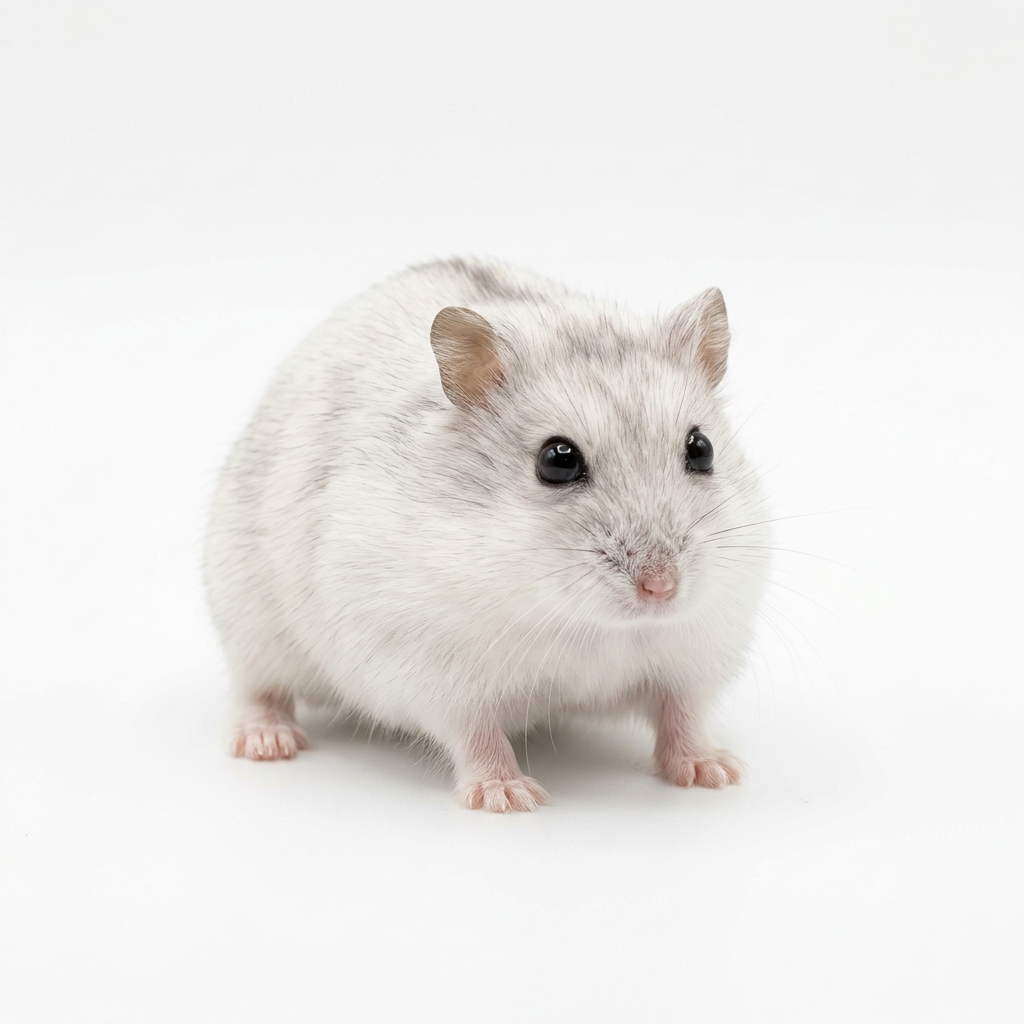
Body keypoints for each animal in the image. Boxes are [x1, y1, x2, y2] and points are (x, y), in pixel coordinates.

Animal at [204, 257, 769, 812]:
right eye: (557, 461)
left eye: (701, 449)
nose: (661, 588)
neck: (588, 625)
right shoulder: (434, 670)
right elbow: (476, 734)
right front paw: (508, 796)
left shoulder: (694, 654)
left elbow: (682, 715)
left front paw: (715, 772)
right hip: (250, 626)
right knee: (259, 691)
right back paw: (267, 742)